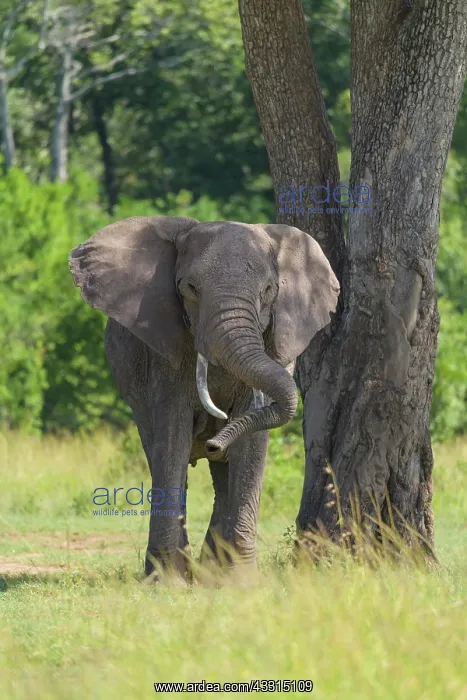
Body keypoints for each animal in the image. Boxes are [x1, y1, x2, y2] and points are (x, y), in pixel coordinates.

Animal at [69, 216, 339, 579]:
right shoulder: (166, 354)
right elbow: (174, 435)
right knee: (162, 455)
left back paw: (213, 571)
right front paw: (167, 581)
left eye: (269, 291)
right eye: (189, 288)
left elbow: (250, 447)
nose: (213, 443)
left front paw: (241, 581)